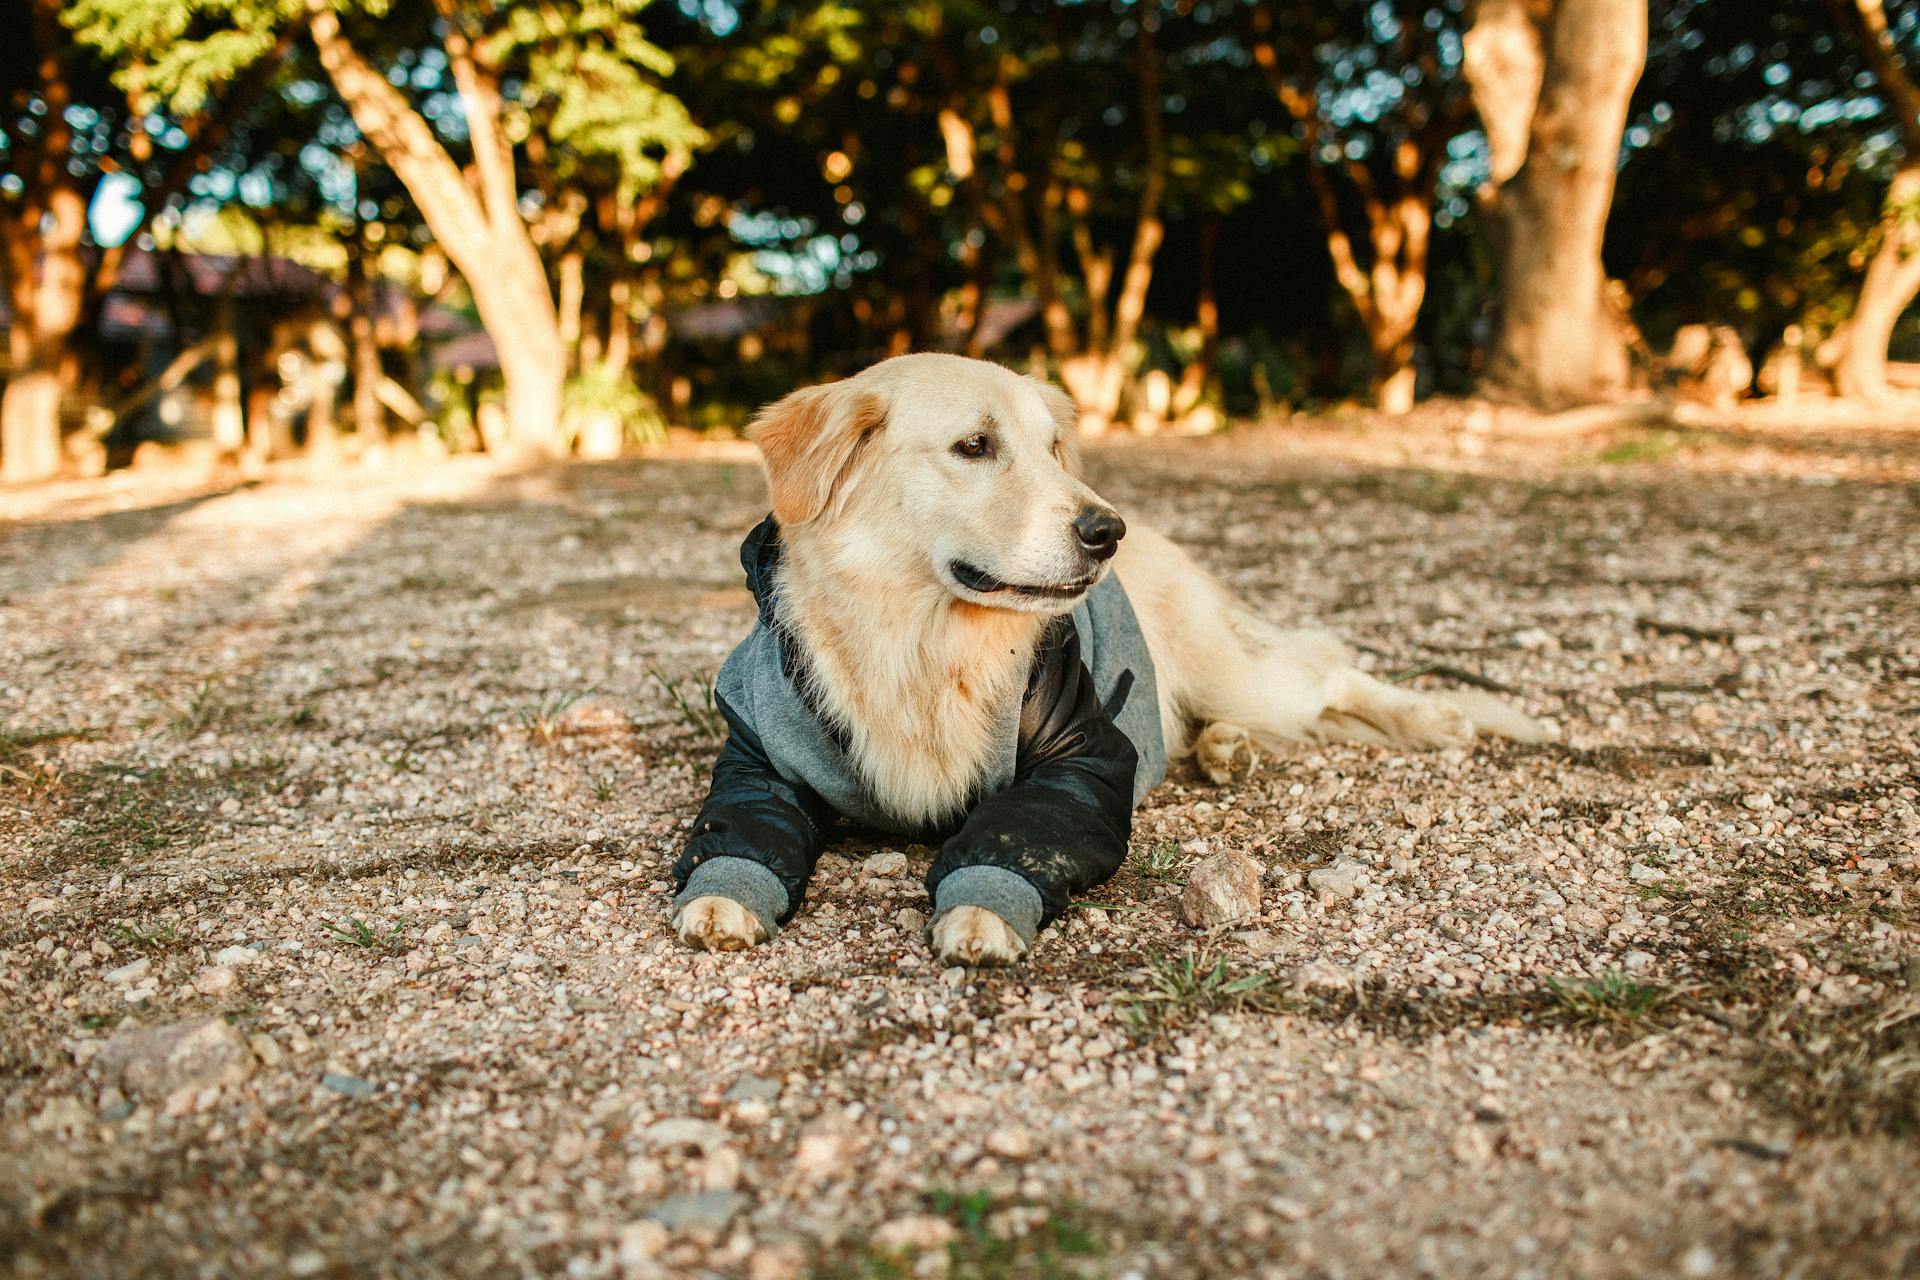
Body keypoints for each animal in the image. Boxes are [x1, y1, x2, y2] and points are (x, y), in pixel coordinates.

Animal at [672, 355, 1543, 967]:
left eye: (1053, 448)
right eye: (975, 446)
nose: (1106, 531)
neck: (918, 641)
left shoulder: (1077, 753)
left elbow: (1017, 834)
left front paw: (983, 908)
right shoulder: (760, 758)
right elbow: (739, 827)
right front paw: (723, 897)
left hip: (1243, 669)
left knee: (1331, 669)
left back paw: (1442, 718)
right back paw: (1227, 750)